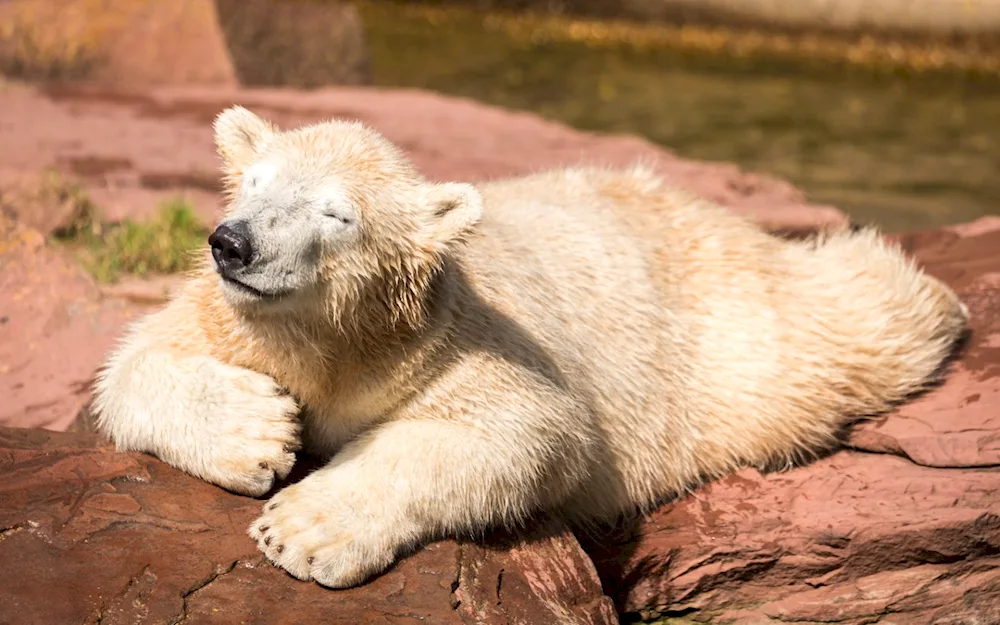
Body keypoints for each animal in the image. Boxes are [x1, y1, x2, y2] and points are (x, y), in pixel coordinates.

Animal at [92, 105, 968, 588]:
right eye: (254, 183)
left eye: (337, 213)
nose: (232, 243)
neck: (344, 338)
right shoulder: (231, 316)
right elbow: (131, 364)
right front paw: (257, 430)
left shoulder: (457, 339)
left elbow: (529, 430)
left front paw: (304, 527)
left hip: (736, 335)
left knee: (840, 328)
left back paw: (941, 298)